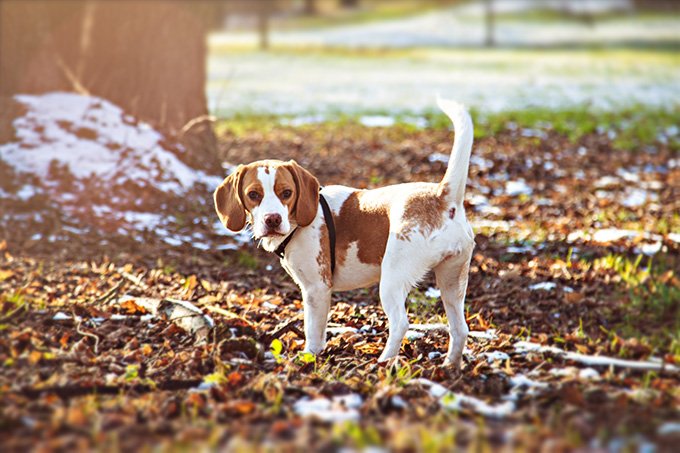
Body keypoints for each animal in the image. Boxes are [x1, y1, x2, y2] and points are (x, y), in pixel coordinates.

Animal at [214, 99, 472, 368]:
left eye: (286, 193)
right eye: (253, 194)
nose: (272, 219)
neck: (299, 223)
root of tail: (442, 196)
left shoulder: (316, 289)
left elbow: (312, 330)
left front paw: (309, 356)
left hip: (392, 280)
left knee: (401, 323)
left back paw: (383, 362)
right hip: (452, 281)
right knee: (460, 329)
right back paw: (450, 366)